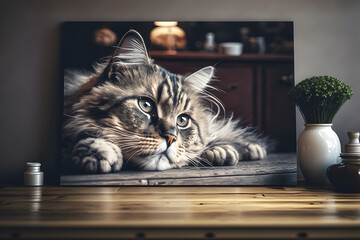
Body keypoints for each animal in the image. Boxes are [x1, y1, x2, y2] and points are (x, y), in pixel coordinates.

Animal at [63, 30, 268, 173]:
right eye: (146, 106)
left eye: (182, 120)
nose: (171, 137)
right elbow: (79, 133)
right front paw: (97, 151)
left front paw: (220, 150)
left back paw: (248, 148)